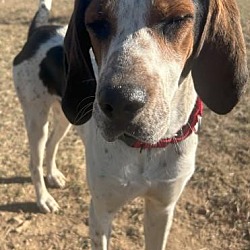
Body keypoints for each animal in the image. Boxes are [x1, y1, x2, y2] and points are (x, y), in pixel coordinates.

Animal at [12, 0, 69, 213]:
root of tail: (38, 31)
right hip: (37, 121)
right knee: (34, 164)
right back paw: (44, 198)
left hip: (64, 118)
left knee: (51, 145)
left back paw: (52, 175)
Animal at [63, 0, 248, 248]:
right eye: (96, 23)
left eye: (177, 18)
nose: (120, 102)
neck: (145, 149)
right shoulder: (101, 212)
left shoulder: (162, 208)